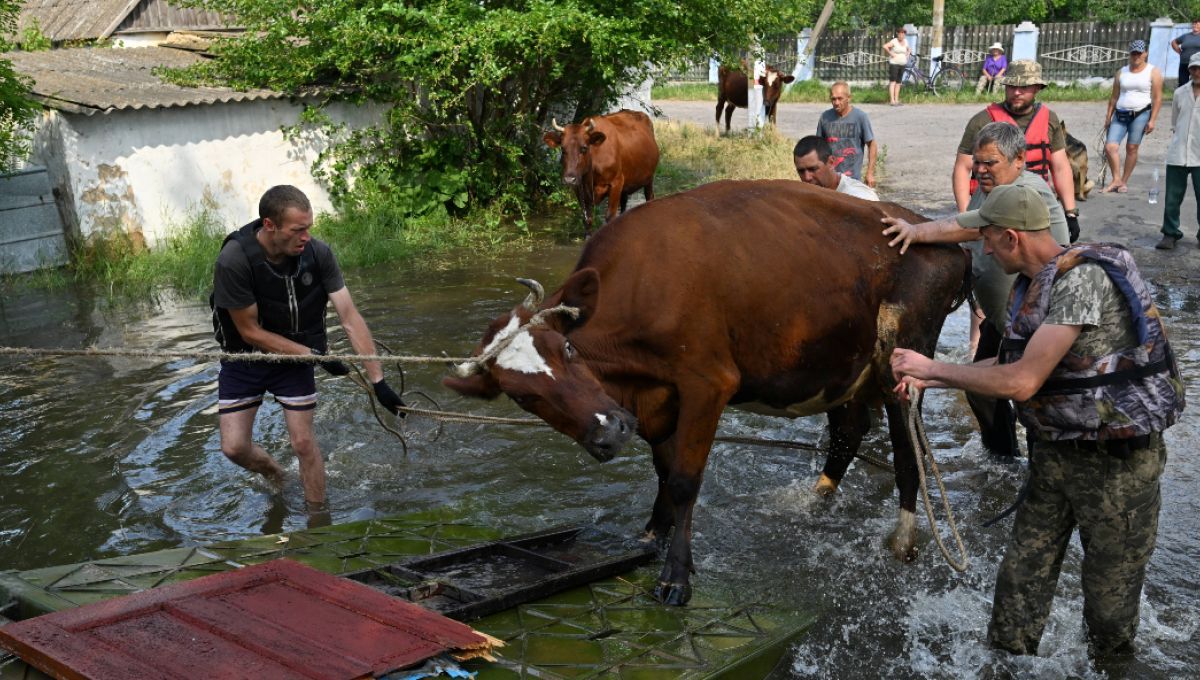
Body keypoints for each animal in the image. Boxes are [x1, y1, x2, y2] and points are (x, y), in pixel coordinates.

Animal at [446, 178, 969, 604]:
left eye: (567, 350)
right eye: (523, 397)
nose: (608, 432)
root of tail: (937, 238)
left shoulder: (707, 383)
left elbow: (684, 479)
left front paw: (676, 575)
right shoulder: (657, 400)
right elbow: (663, 471)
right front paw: (651, 535)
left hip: (901, 363)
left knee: (908, 454)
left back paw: (903, 542)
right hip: (846, 366)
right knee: (849, 430)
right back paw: (815, 500)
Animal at [542, 110, 657, 238]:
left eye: (584, 148)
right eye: (563, 149)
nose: (569, 179)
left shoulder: (616, 182)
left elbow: (610, 216)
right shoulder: (579, 187)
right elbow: (587, 218)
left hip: (649, 179)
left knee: (649, 197)